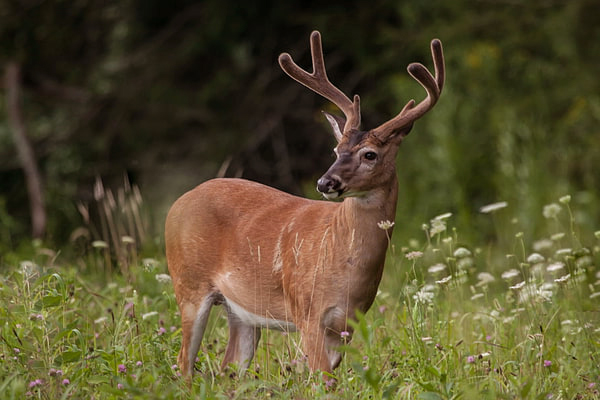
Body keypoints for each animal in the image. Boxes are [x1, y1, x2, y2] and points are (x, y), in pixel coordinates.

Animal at [165, 30, 446, 378]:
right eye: (336, 150)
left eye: (370, 154)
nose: (326, 183)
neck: (344, 262)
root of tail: (178, 203)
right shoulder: (307, 311)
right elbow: (320, 378)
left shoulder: (347, 324)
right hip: (188, 283)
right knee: (184, 362)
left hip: (241, 310)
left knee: (229, 367)